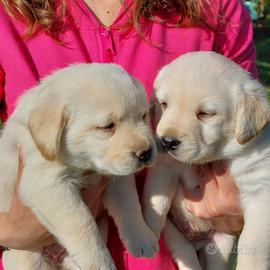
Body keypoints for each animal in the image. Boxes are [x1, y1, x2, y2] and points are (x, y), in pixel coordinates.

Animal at [0, 63, 158, 270]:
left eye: (144, 115)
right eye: (108, 126)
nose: (146, 152)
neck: (85, 164)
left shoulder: (117, 177)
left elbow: (129, 205)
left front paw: (142, 239)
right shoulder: (46, 184)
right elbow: (82, 224)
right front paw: (99, 262)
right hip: (27, 258)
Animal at [143, 52, 270, 270]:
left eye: (206, 114)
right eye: (164, 104)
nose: (167, 141)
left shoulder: (259, 191)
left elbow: (253, 242)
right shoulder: (165, 167)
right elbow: (157, 201)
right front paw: (147, 232)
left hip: (222, 244)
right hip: (177, 238)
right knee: (185, 254)